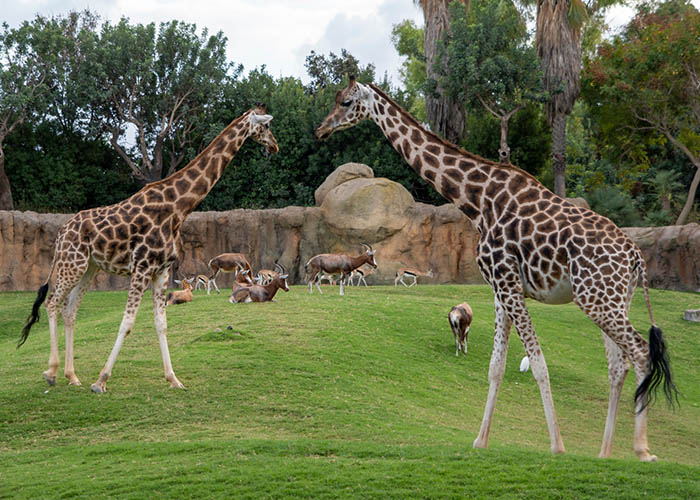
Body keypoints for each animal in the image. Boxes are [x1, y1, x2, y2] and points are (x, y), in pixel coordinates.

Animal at [18, 104, 278, 394]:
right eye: (266, 126)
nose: (275, 145)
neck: (178, 208)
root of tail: (62, 232)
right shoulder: (142, 268)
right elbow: (127, 323)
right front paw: (101, 380)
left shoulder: (161, 271)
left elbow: (161, 324)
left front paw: (173, 379)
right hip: (71, 263)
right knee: (52, 303)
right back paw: (51, 372)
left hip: (89, 267)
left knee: (69, 309)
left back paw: (72, 375)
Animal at [314, 77, 676, 460]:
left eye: (346, 101)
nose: (321, 129)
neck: (478, 201)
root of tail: (635, 257)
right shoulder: (500, 290)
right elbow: (495, 367)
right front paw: (480, 441)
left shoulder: (507, 282)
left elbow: (538, 364)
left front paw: (557, 446)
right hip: (613, 299)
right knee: (617, 365)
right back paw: (605, 452)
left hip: (597, 300)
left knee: (640, 351)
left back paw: (642, 449)